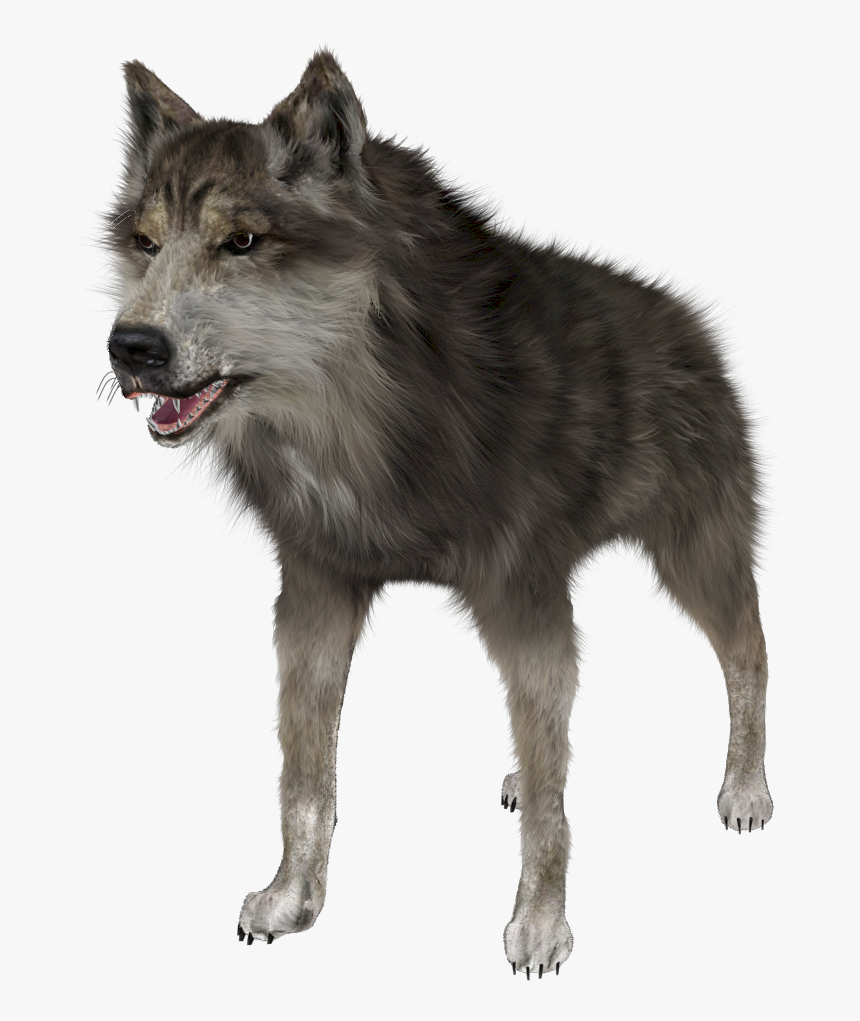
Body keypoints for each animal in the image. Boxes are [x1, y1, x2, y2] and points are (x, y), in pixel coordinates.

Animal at [104, 51, 772, 977]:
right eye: (146, 243)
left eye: (241, 241)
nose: (130, 349)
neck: (368, 413)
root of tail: (694, 328)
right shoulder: (315, 592)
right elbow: (304, 777)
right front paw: (291, 898)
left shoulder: (522, 599)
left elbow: (552, 815)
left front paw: (540, 927)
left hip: (695, 556)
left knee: (749, 654)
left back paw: (746, 788)